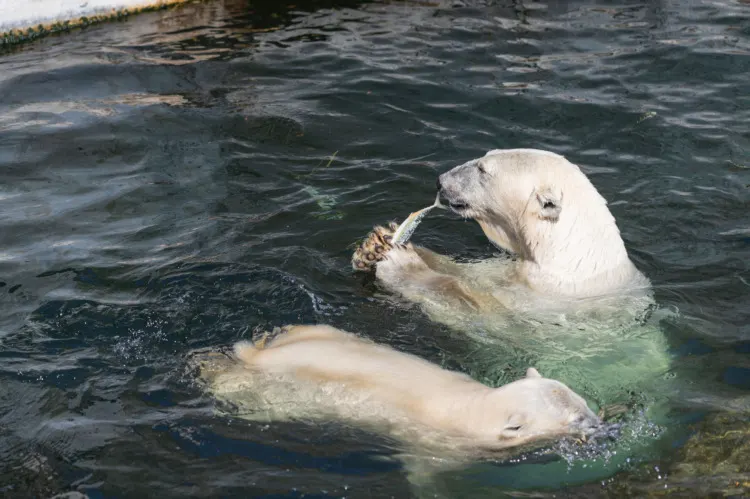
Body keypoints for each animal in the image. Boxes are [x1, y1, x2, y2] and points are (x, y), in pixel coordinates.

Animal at [191, 324, 604, 458]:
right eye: (576, 417)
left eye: (586, 403)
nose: (601, 425)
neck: (474, 406)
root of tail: (254, 359)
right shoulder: (434, 443)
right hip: (265, 393)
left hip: (312, 331)